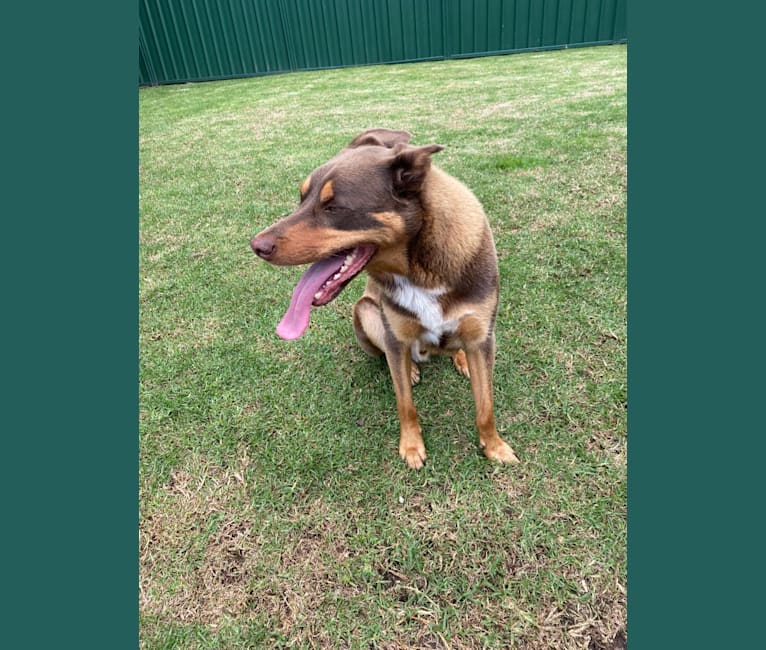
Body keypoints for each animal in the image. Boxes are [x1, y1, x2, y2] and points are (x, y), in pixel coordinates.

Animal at [252, 128, 520, 466]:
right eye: (302, 198)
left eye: (334, 207)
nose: (256, 245)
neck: (419, 268)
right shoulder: (395, 336)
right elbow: (405, 403)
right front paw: (412, 447)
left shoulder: (483, 335)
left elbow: (485, 406)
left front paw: (494, 446)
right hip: (366, 311)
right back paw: (413, 367)